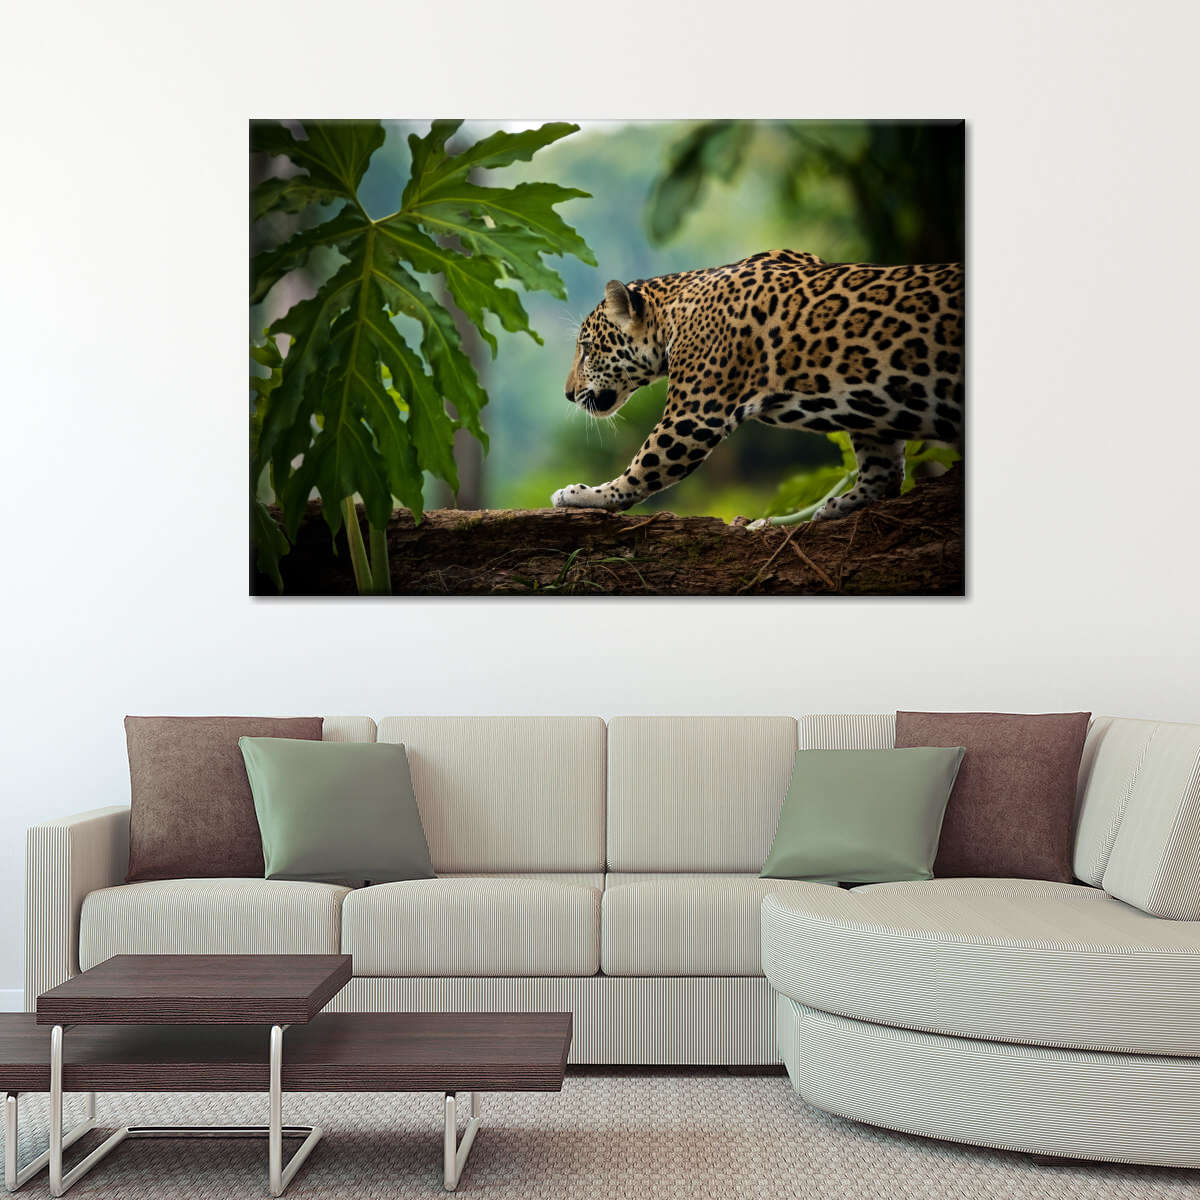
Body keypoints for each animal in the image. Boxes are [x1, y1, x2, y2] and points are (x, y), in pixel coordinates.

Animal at [551, 249, 963, 520]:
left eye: (586, 348)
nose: (567, 394)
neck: (672, 313)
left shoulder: (693, 416)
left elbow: (642, 468)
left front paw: (584, 495)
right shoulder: (870, 413)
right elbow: (883, 465)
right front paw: (845, 503)